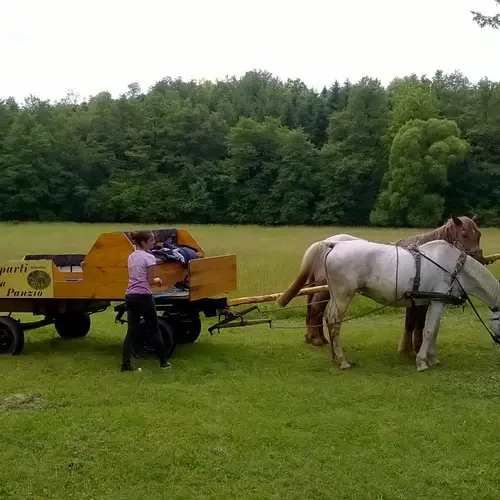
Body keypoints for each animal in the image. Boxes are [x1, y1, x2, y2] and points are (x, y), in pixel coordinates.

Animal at [278, 238, 500, 372]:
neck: (456, 268)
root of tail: (334, 244)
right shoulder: (437, 301)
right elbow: (429, 331)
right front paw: (422, 362)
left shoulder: (438, 302)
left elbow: (434, 330)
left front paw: (433, 357)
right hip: (343, 295)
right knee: (334, 322)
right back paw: (342, 360)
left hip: (335, 295)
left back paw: (335, 356)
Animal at [298, 215, 482, 356]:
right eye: (464, 234)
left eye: (479, 234)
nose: (479, 259)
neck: (427, 257)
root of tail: (323, 244)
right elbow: (414, 323)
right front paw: (410, 350)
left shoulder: (418, 299)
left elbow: (416, 323)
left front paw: (410, 348)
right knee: (316, 308)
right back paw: (315, 339)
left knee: (318, 309)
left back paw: (319, 338)